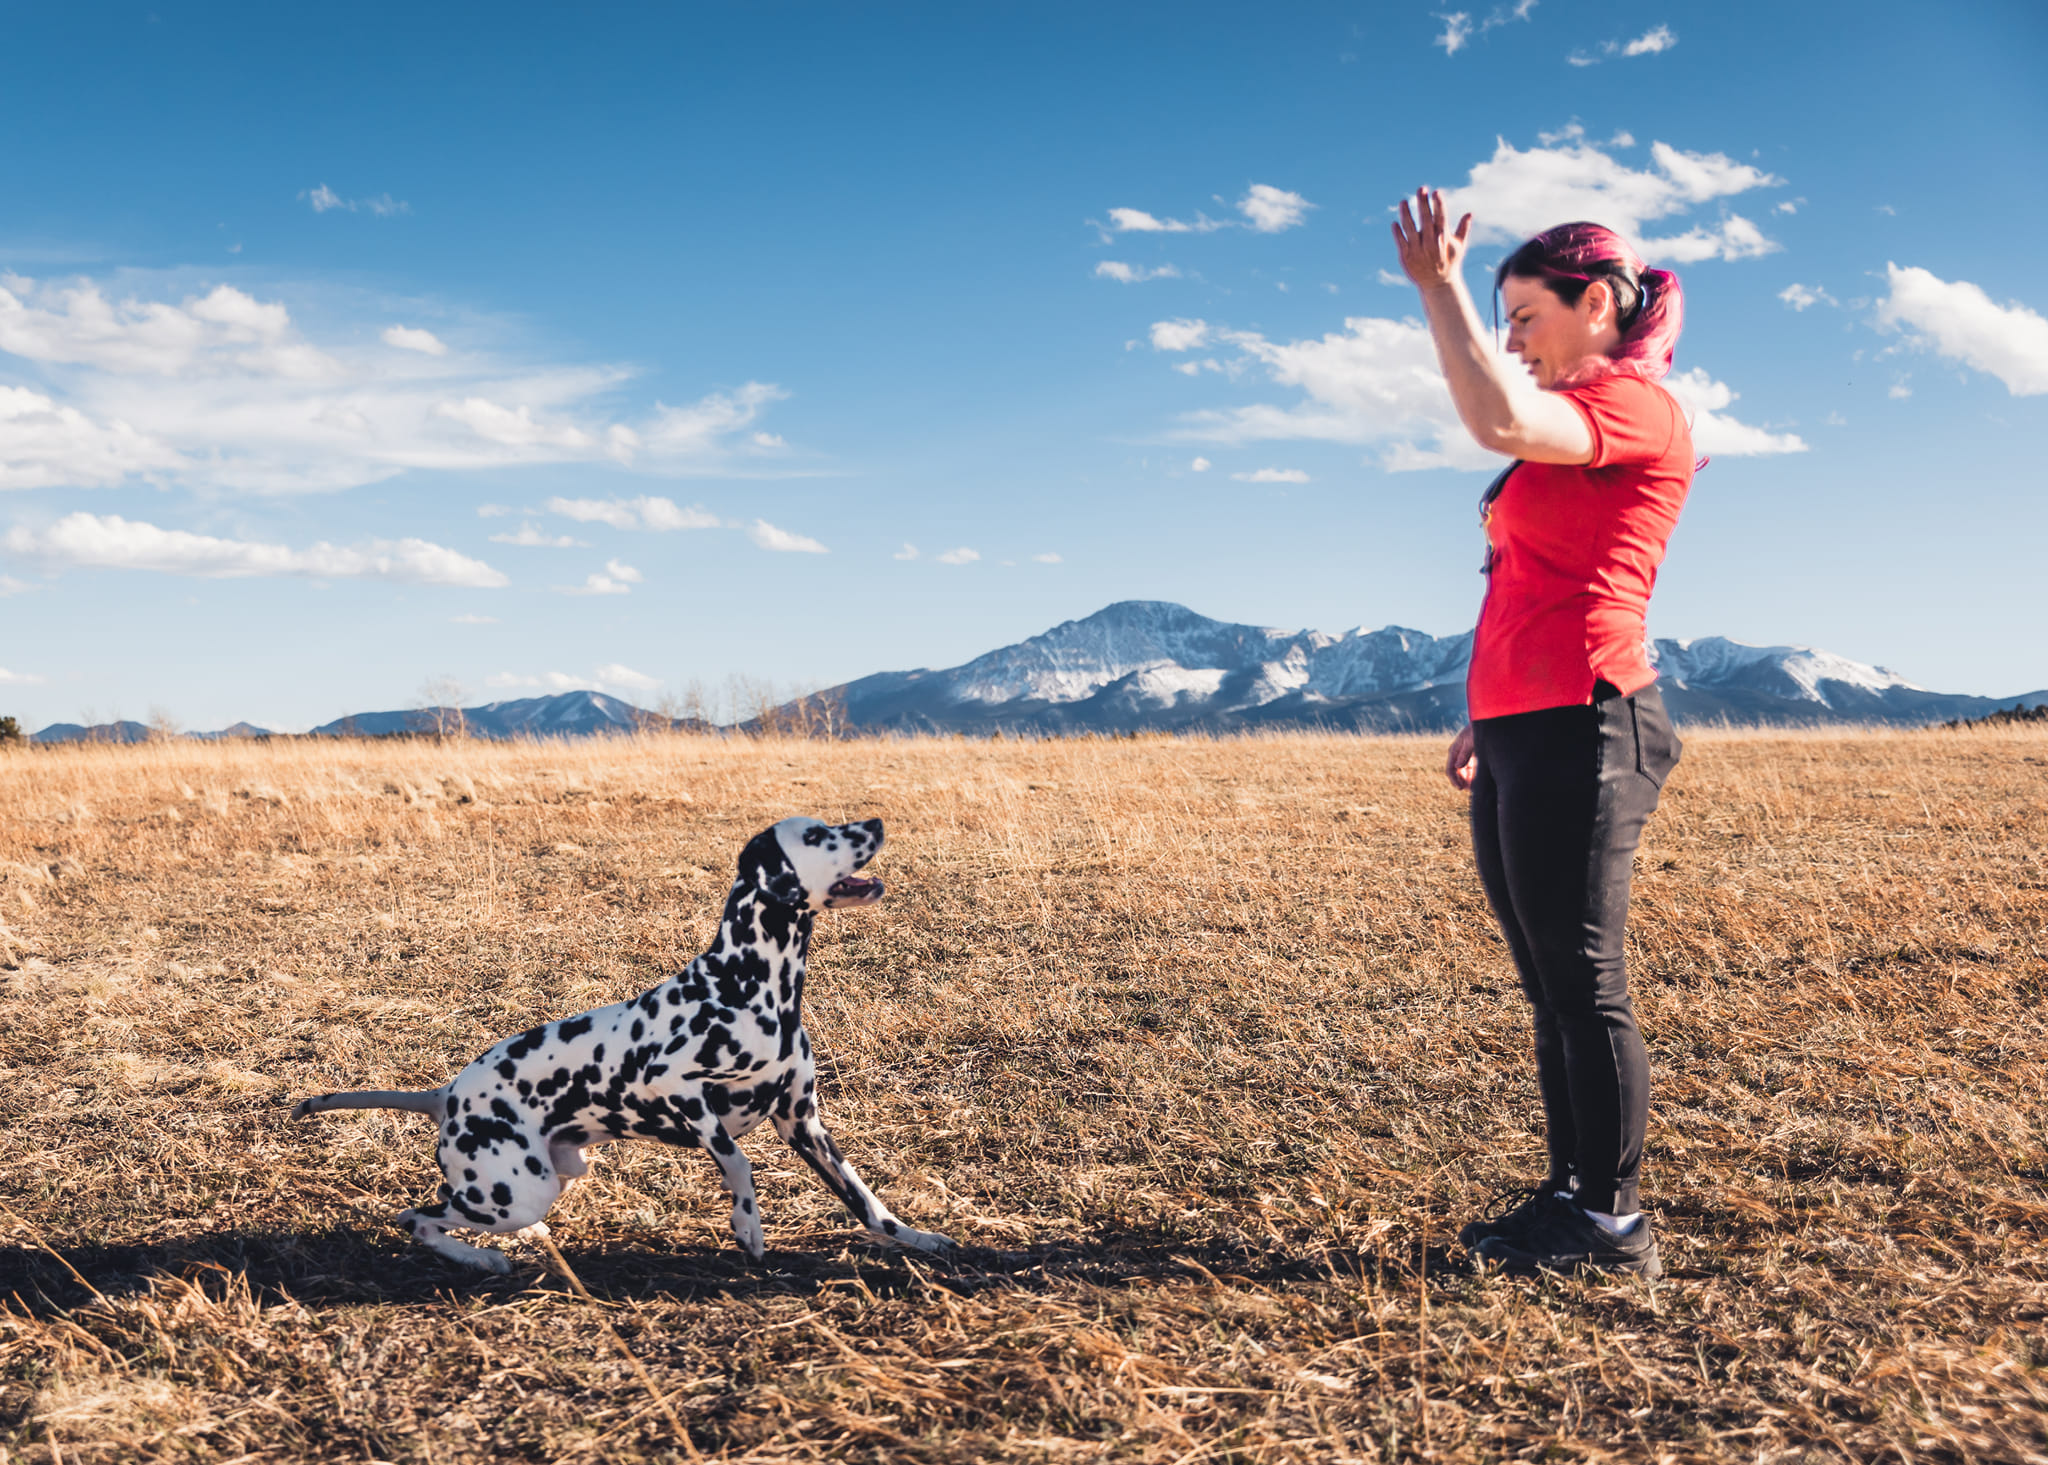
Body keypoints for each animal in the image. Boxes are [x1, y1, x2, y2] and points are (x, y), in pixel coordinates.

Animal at [294, 815, 950, 1270]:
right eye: (817, 834)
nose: (878, 821)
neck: (751, 984)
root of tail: (445, 1095)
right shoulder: (680, 1089)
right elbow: (738, 1163)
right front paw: (748, 1226)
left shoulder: (803, 1124)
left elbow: (867, 1202)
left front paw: (919, 1238)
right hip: (518, 1190)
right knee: (417, 1217)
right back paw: (482, 1259)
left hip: (547, 1177)